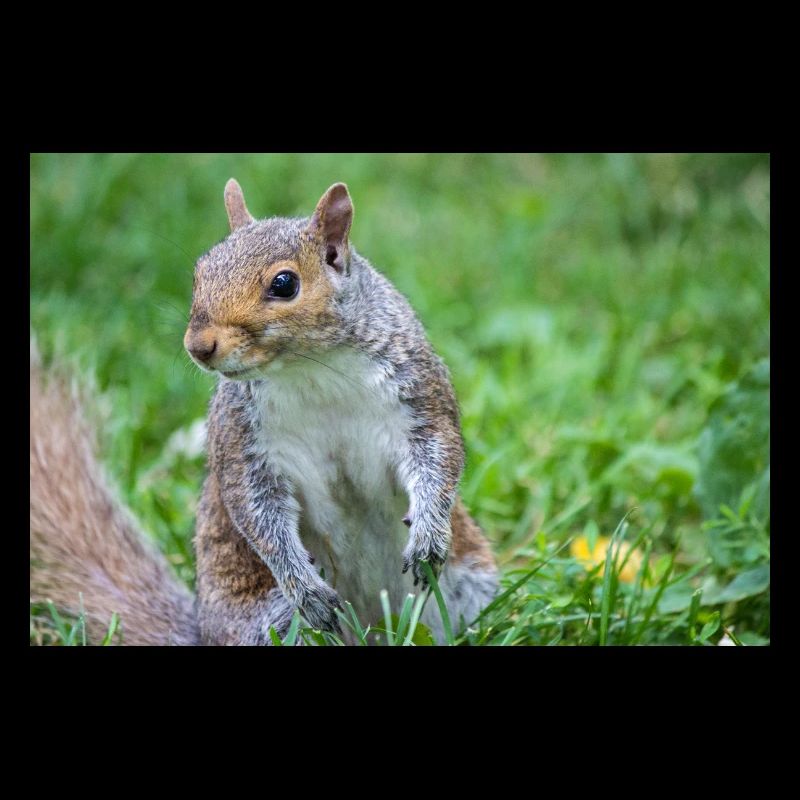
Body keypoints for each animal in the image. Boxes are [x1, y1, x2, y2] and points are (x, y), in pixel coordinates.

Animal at [30, 181, 498, 645]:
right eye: (200, 272)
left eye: (285, 284)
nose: (198, 345)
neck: (311, 368)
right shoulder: (243, 443)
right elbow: (258, 514)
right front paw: (306, 589)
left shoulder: (419, 395)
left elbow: (438, 458)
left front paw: (428, 538)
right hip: (271, 622)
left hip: (469, 582)